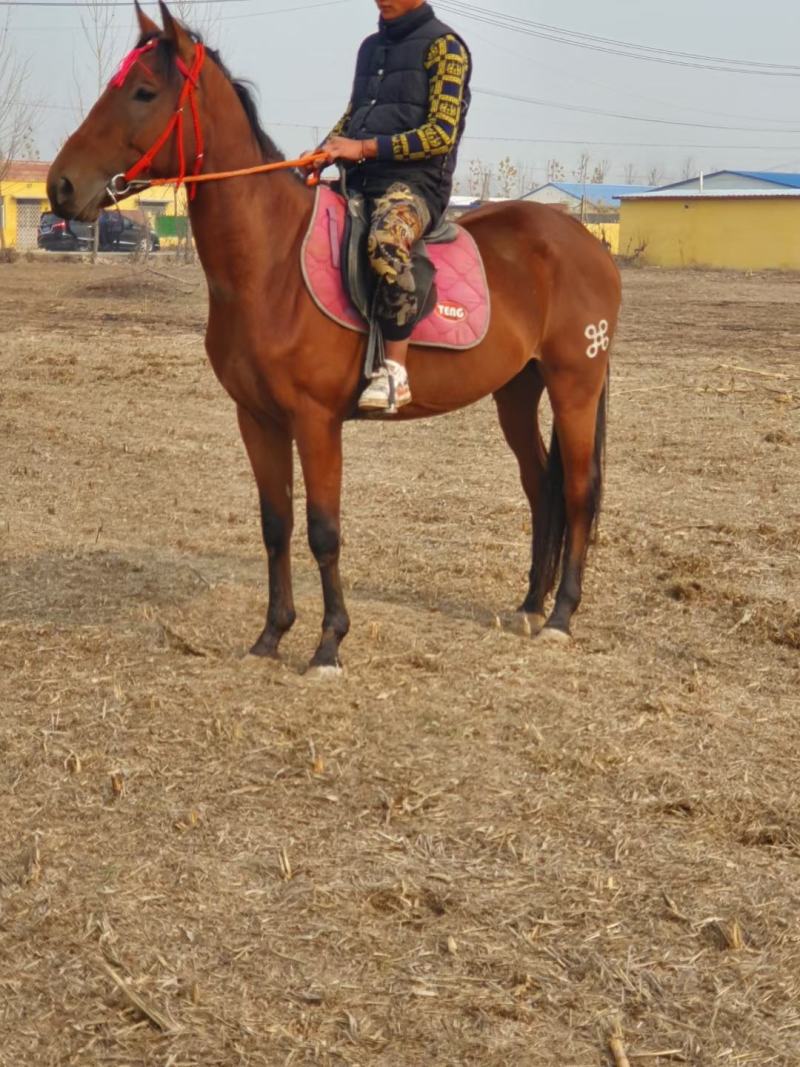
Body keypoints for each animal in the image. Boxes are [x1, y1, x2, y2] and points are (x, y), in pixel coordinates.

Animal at [47, 2, 621, 673]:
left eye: (143, 91)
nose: (60, 187)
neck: (271, 263)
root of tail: (586, 244)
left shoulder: (315, 421)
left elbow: (324, 529)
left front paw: (328, 645)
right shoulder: (258, 418)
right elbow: (275, 523)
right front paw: (271, 635)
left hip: (574, 385)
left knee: (578, 489)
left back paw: (560, 616)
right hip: (517, 389)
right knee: (541, 485)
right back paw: (531, 605)